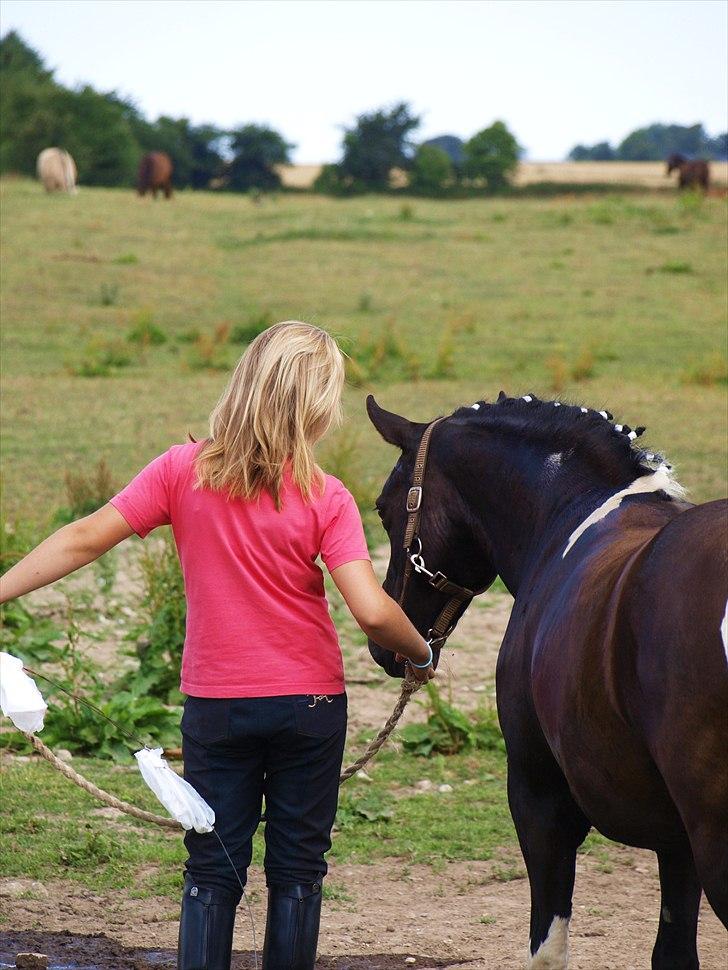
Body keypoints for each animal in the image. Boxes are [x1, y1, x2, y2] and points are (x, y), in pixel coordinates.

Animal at [370, 394, 728, 968]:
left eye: (384, 508)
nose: (384, 645)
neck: (571, 513)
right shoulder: (677, 843)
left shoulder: (539, 800)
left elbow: (547, 947)